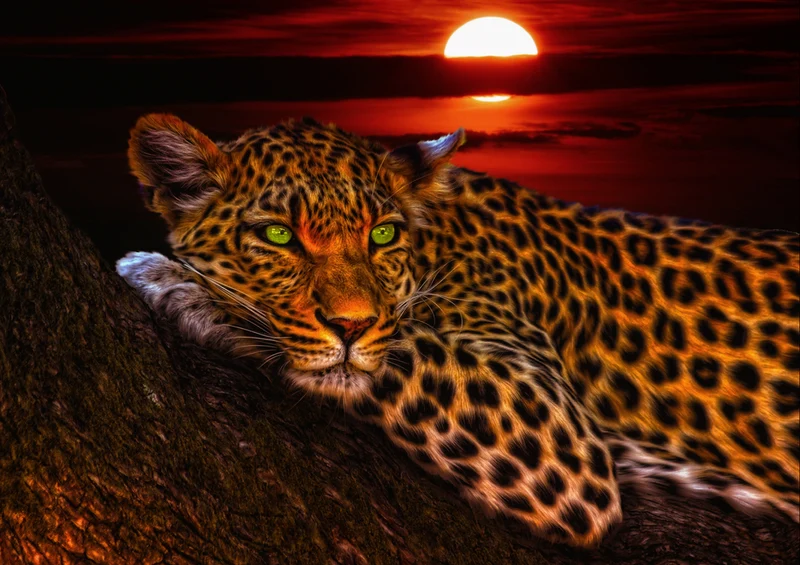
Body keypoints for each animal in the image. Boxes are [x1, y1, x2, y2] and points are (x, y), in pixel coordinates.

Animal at [117, 113, 800, 548]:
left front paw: (176, 281)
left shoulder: (553, 428)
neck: (437, 242)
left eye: (382, 234)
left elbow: (396, 351)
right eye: (279, 235)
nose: (350, 325)